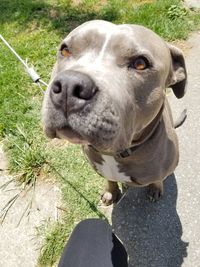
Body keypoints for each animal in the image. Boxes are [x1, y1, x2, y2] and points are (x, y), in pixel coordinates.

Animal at [41, 19, 187, 206]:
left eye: (140, 63)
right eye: (65, 50)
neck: (114, 153)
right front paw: (111, 192)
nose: (69, 85)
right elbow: (110, 179)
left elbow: (157, 179)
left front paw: (155, 188)